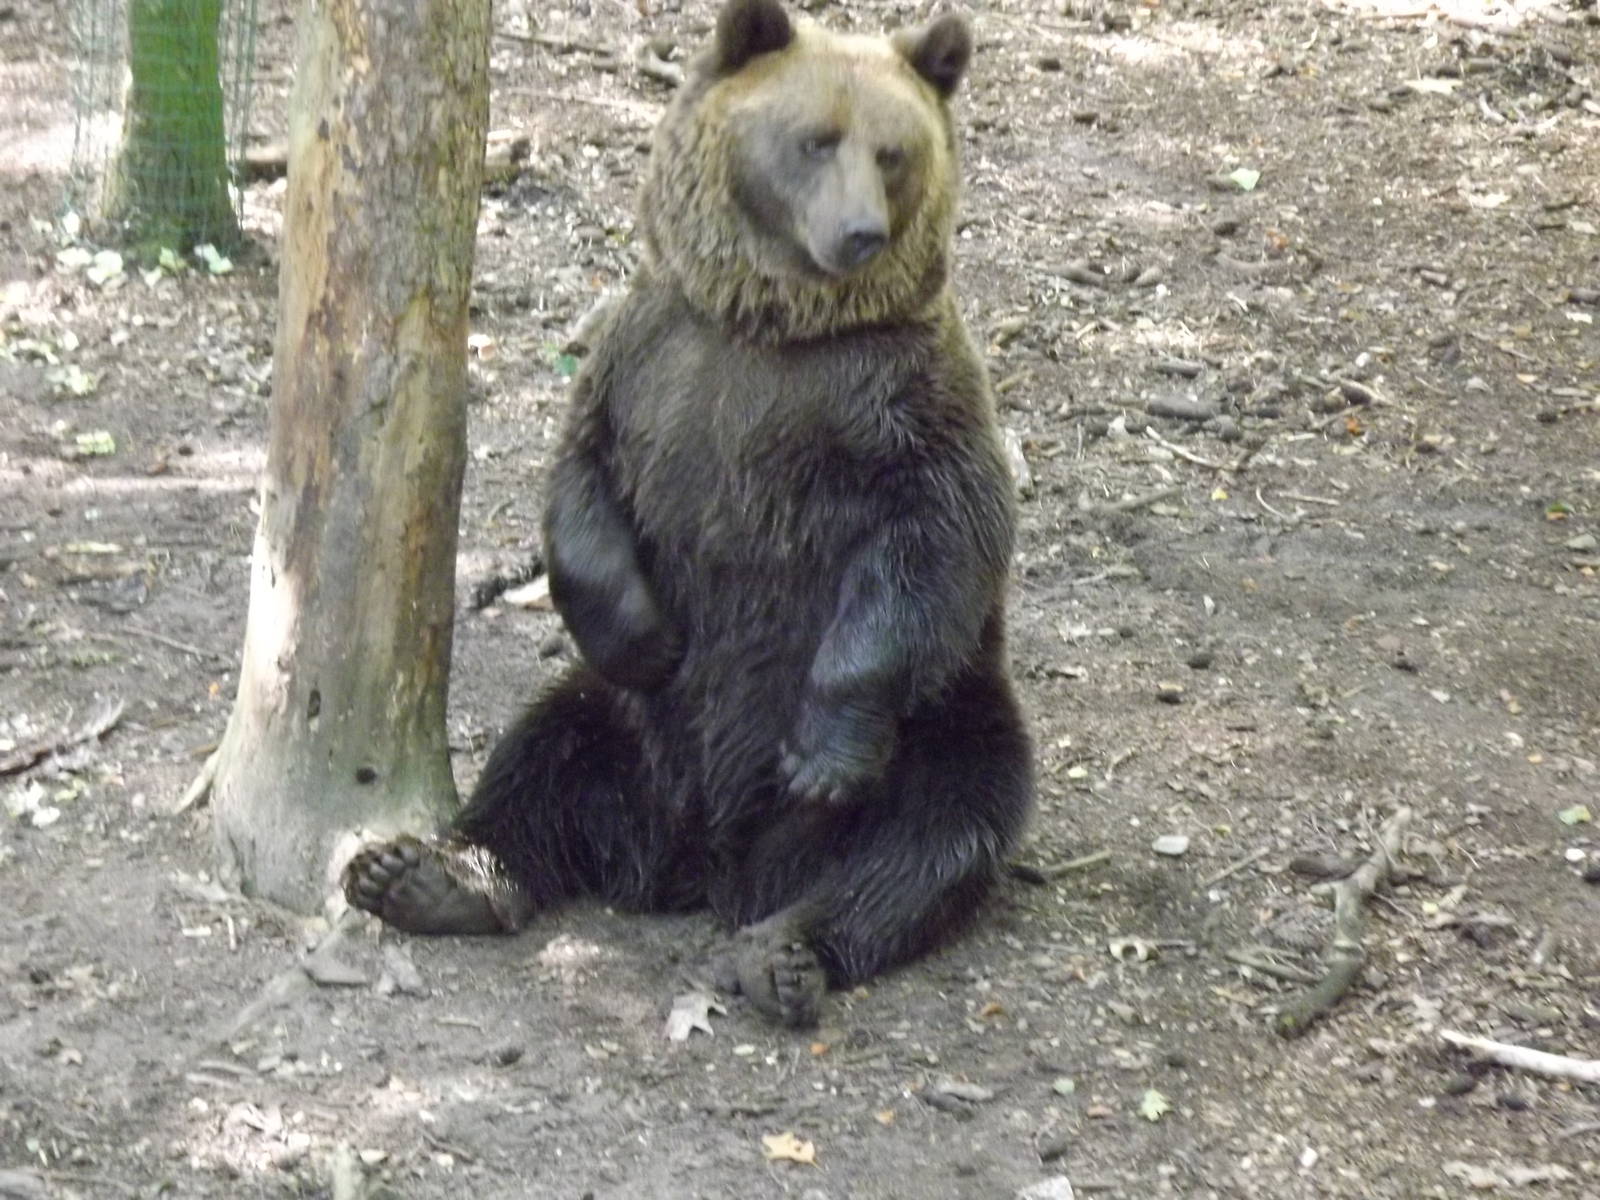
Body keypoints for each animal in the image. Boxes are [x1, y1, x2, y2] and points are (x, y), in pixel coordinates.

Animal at [343, 0, 1035, 1029]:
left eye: (894, 150)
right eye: (815, 138)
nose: (861, 233)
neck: (770, 324)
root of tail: (704, 865)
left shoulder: (900, 400)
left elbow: (934, 539)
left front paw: (824, 753)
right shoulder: (650, 363)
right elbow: (581, 488)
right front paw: (649, 636)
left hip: (945, 716)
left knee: (934, 825)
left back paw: (786, 950)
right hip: (631, 730)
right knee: (542, 755)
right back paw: (427, 875)